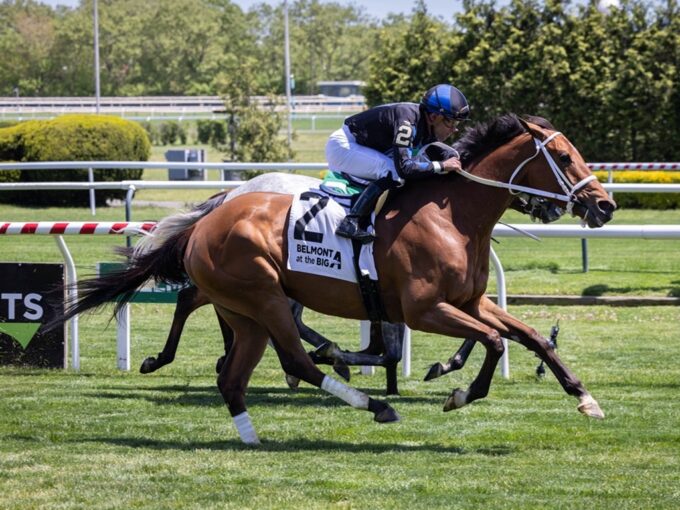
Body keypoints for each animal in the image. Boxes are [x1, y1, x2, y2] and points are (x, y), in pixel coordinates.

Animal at [58, 114, 616, 442]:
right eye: (562, 157)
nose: (604, 206)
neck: (452, 215)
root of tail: (215, 212)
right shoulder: (425, 310)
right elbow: (494, 343)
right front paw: (457, 392)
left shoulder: (469, 301)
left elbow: (531, 336)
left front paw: (584, 396)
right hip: (265, 296)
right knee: (288, 355)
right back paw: (364, 397)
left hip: (250, 307)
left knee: (236, 360)